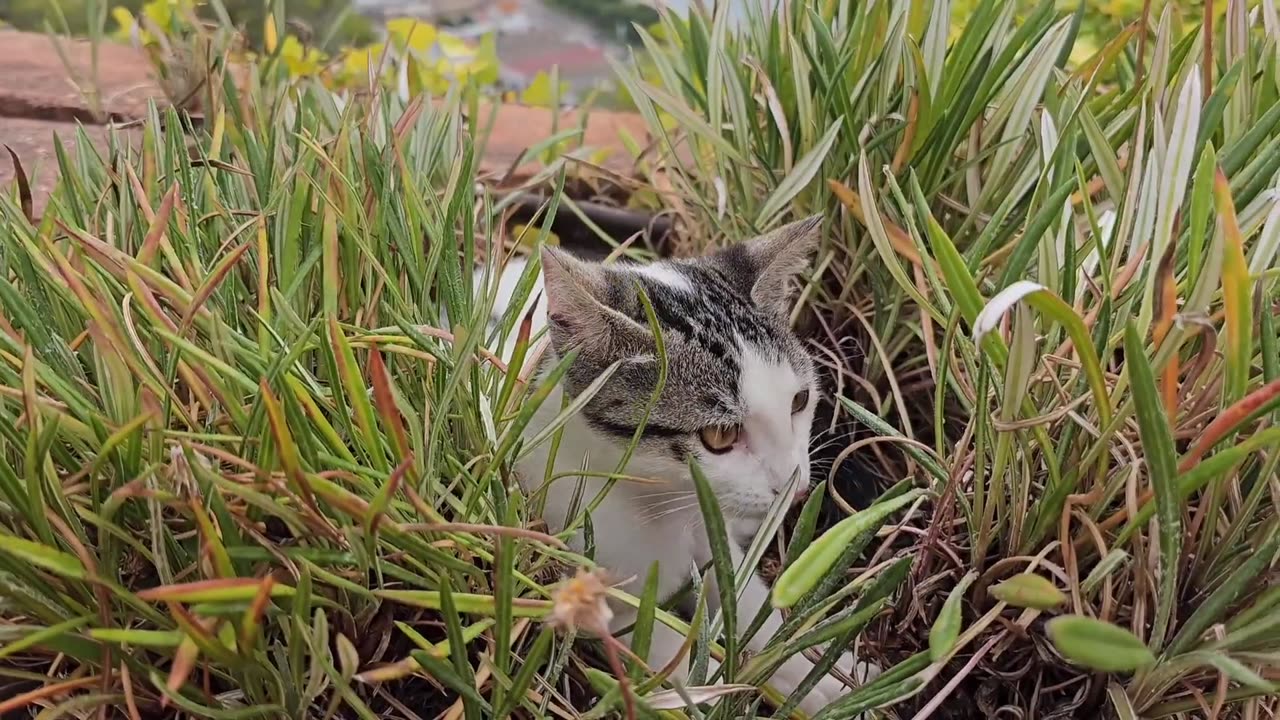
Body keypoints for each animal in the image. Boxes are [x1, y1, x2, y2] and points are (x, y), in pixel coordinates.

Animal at [476, 213, 875, 712]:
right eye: (720, 436)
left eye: (799, 402)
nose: (794, 486)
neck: (658, 499)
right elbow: (662, 655)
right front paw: (724, 690)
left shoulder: (712, 530)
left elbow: (741, 593)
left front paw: (816, 672)